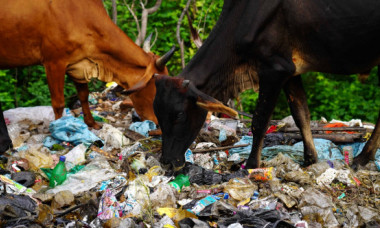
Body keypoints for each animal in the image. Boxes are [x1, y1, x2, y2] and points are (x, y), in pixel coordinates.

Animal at [0, 0, 174, 130]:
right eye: (158, 88)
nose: (159, 123)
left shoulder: (78, 65)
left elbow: (83, 95)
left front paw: (92, 123)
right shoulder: (54, 62)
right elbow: (58, 103)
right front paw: (58, 130)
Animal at [143, 0, 380, 167]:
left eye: (180, 115)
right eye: (157, 113)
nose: (166, 161)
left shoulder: (273, 69)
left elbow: (259, 121)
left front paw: (251, 165)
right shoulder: (290, 71)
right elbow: (301, 114)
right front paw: (310, 160)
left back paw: (362, 159)